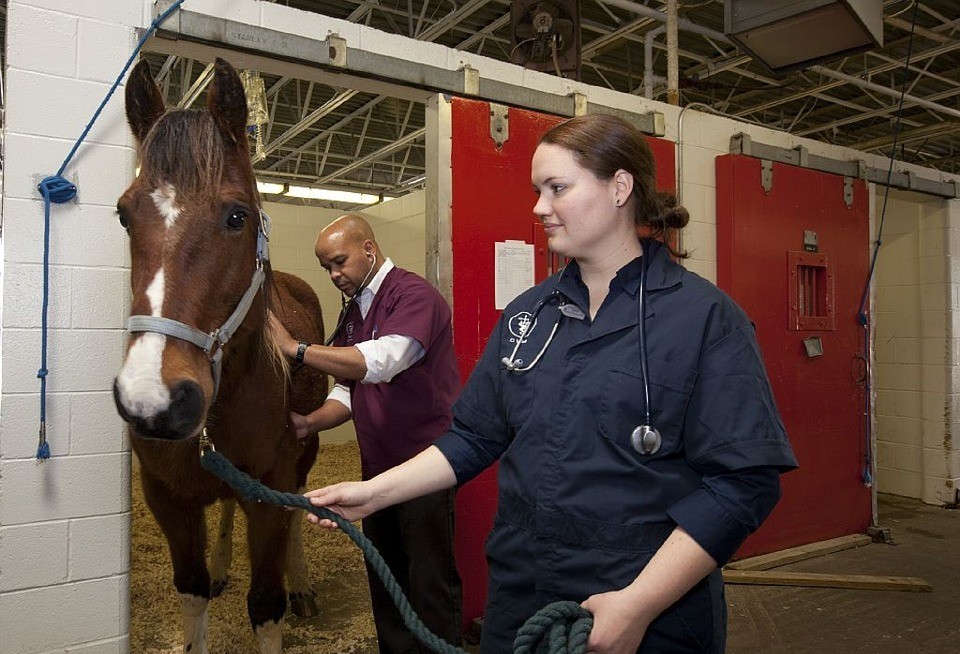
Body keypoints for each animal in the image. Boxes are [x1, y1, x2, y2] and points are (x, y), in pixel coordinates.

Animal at [113, 56, 326, 654]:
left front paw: (287, 592)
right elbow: (192, 591)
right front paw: (213, 573)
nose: (154, 399)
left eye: (237, 216)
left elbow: (266, 607)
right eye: (123, 215)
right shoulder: (168, 499)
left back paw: (303, 587)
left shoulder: (270, 496)